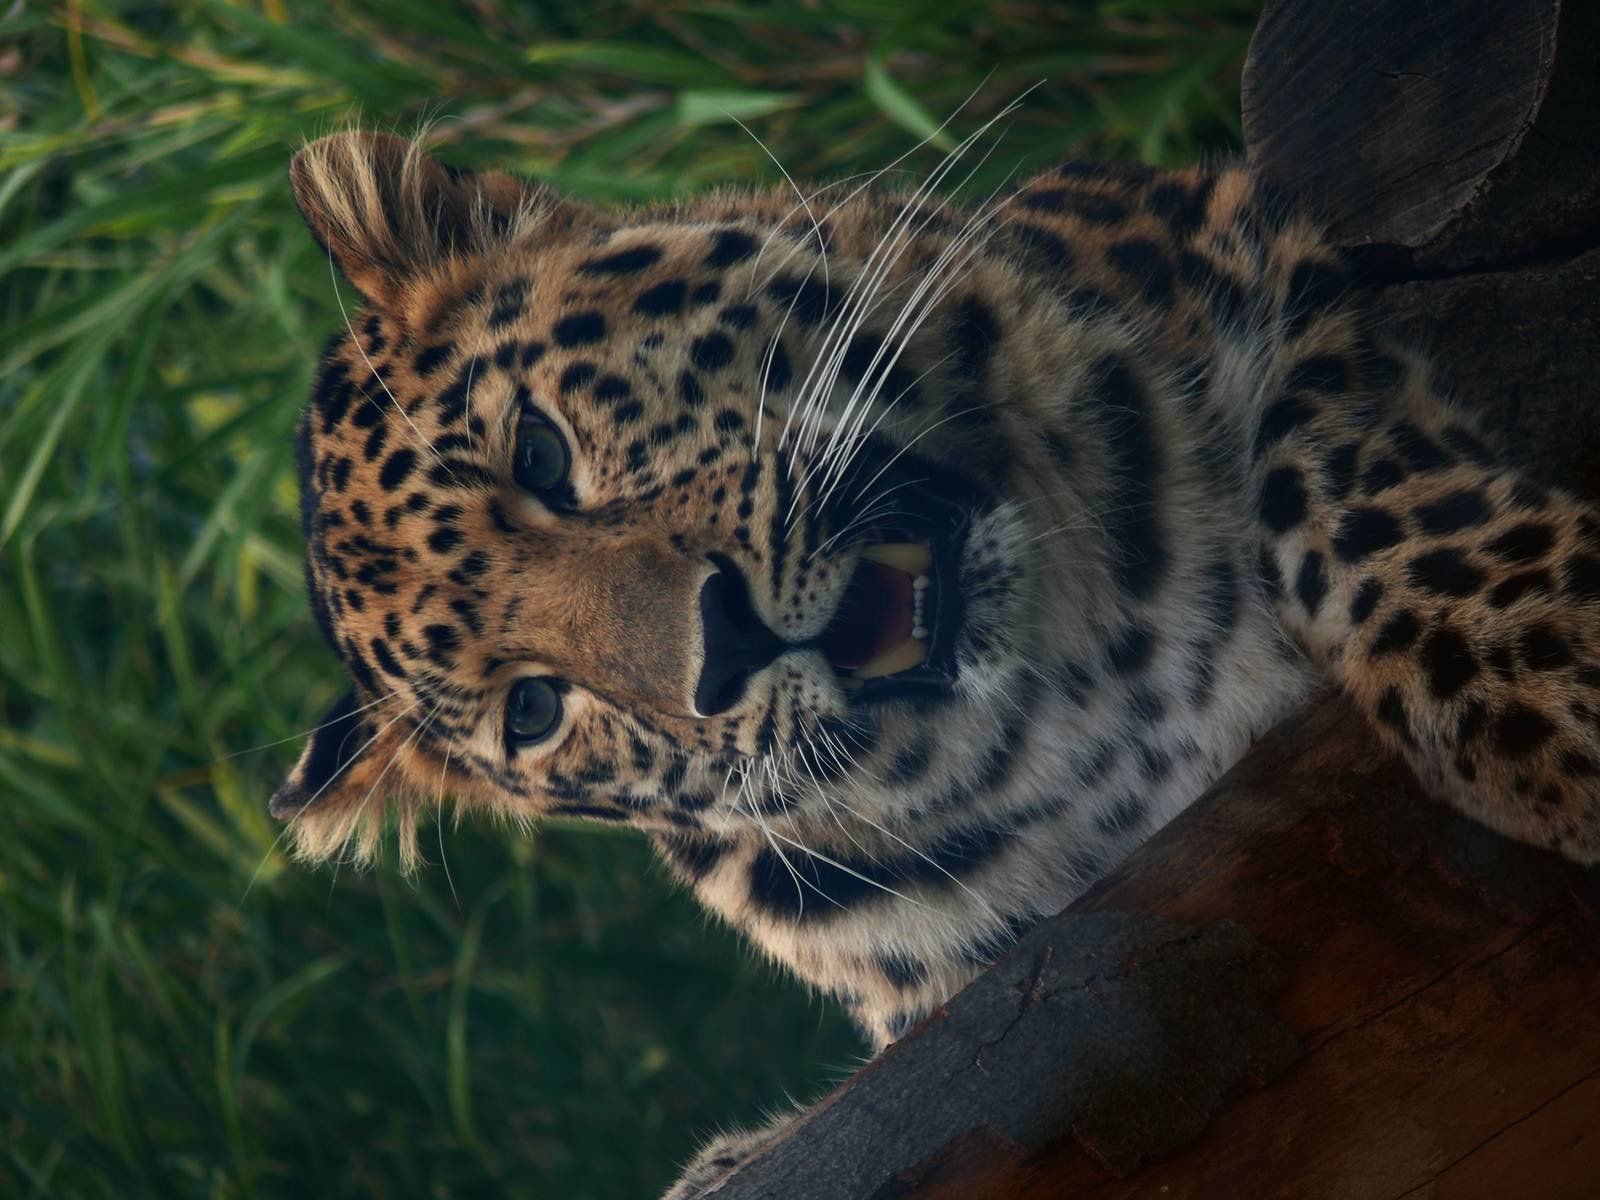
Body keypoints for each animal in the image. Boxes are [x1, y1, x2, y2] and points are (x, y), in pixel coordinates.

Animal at [272, 129, 1600, 1196]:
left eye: (540, 454)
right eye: (533, 709)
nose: (723, 647)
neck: (1093, 693)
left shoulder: (1240, 250)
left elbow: (1333, 481)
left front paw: (1556, 684)